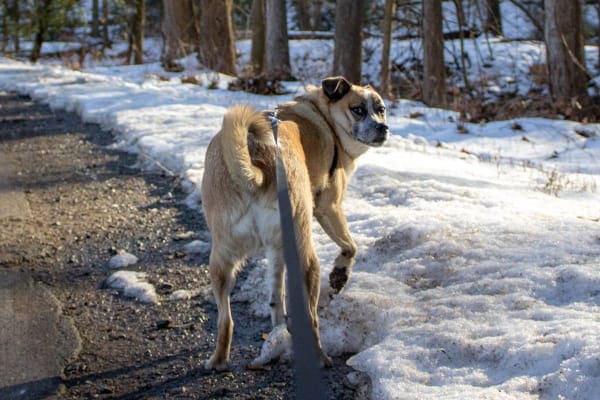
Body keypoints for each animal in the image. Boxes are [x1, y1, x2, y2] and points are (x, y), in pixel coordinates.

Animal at [202, 76, 390, 370]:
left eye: (381, 109)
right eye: (358, 109)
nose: (383, 128)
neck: (325, 116)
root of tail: (258, 163)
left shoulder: (277, 248)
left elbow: (276, 294)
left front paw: (277, 328)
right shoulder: (329, 207)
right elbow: (350, 246)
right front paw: (339, 276)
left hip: (221, 260)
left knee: (226, 319)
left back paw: (220, 359)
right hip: (305, 254)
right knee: (311, 319)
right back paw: (320, 358)